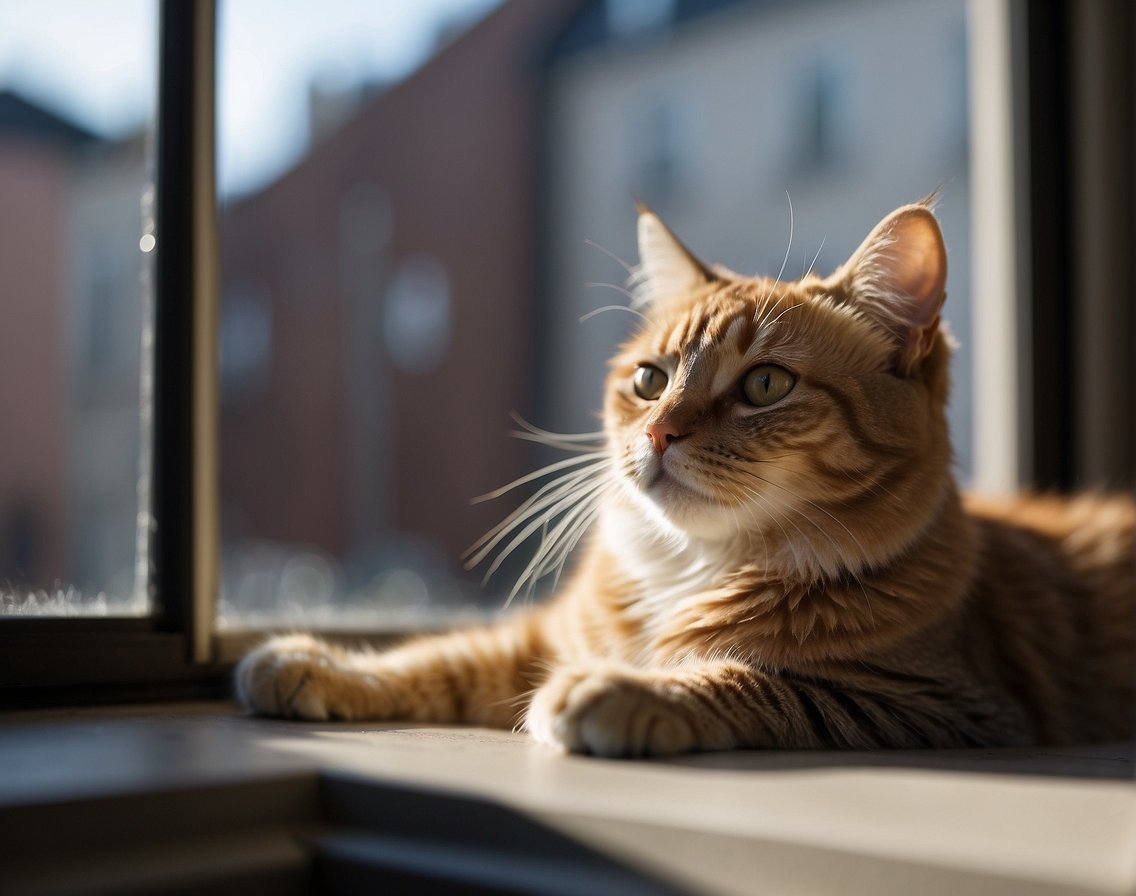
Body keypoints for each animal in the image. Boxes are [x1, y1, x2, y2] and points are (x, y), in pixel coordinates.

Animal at [235, 203, 1131, 754]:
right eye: (650, 380)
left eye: (765, 385)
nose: (660, 432)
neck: (693, 569)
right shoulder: (541, 640)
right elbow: (442, 657)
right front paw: (323, 665)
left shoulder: (939, 705)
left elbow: (759, 683)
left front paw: (628, 693)